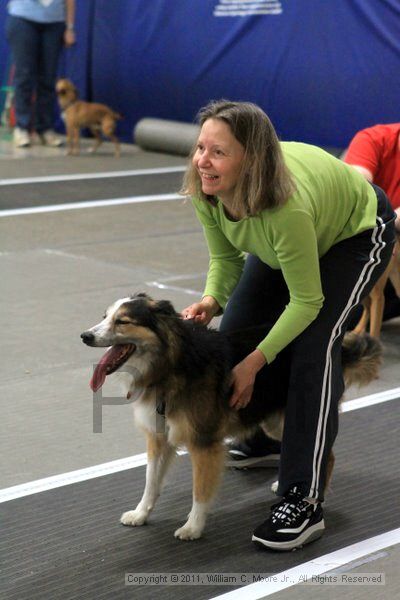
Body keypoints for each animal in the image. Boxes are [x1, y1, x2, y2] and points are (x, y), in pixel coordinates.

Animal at [80, 292, 382, 540]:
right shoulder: (158, 437)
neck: (170, 365)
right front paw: (141, 514)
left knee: (326, 455)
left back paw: (311, 498)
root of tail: (338, 349)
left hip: (294, 413)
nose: (84, 336)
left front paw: (193, 527)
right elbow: (150, 481)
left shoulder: (204, 444)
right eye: (105, 317)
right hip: (273, 421)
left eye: (122, 321)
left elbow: (200, 490)